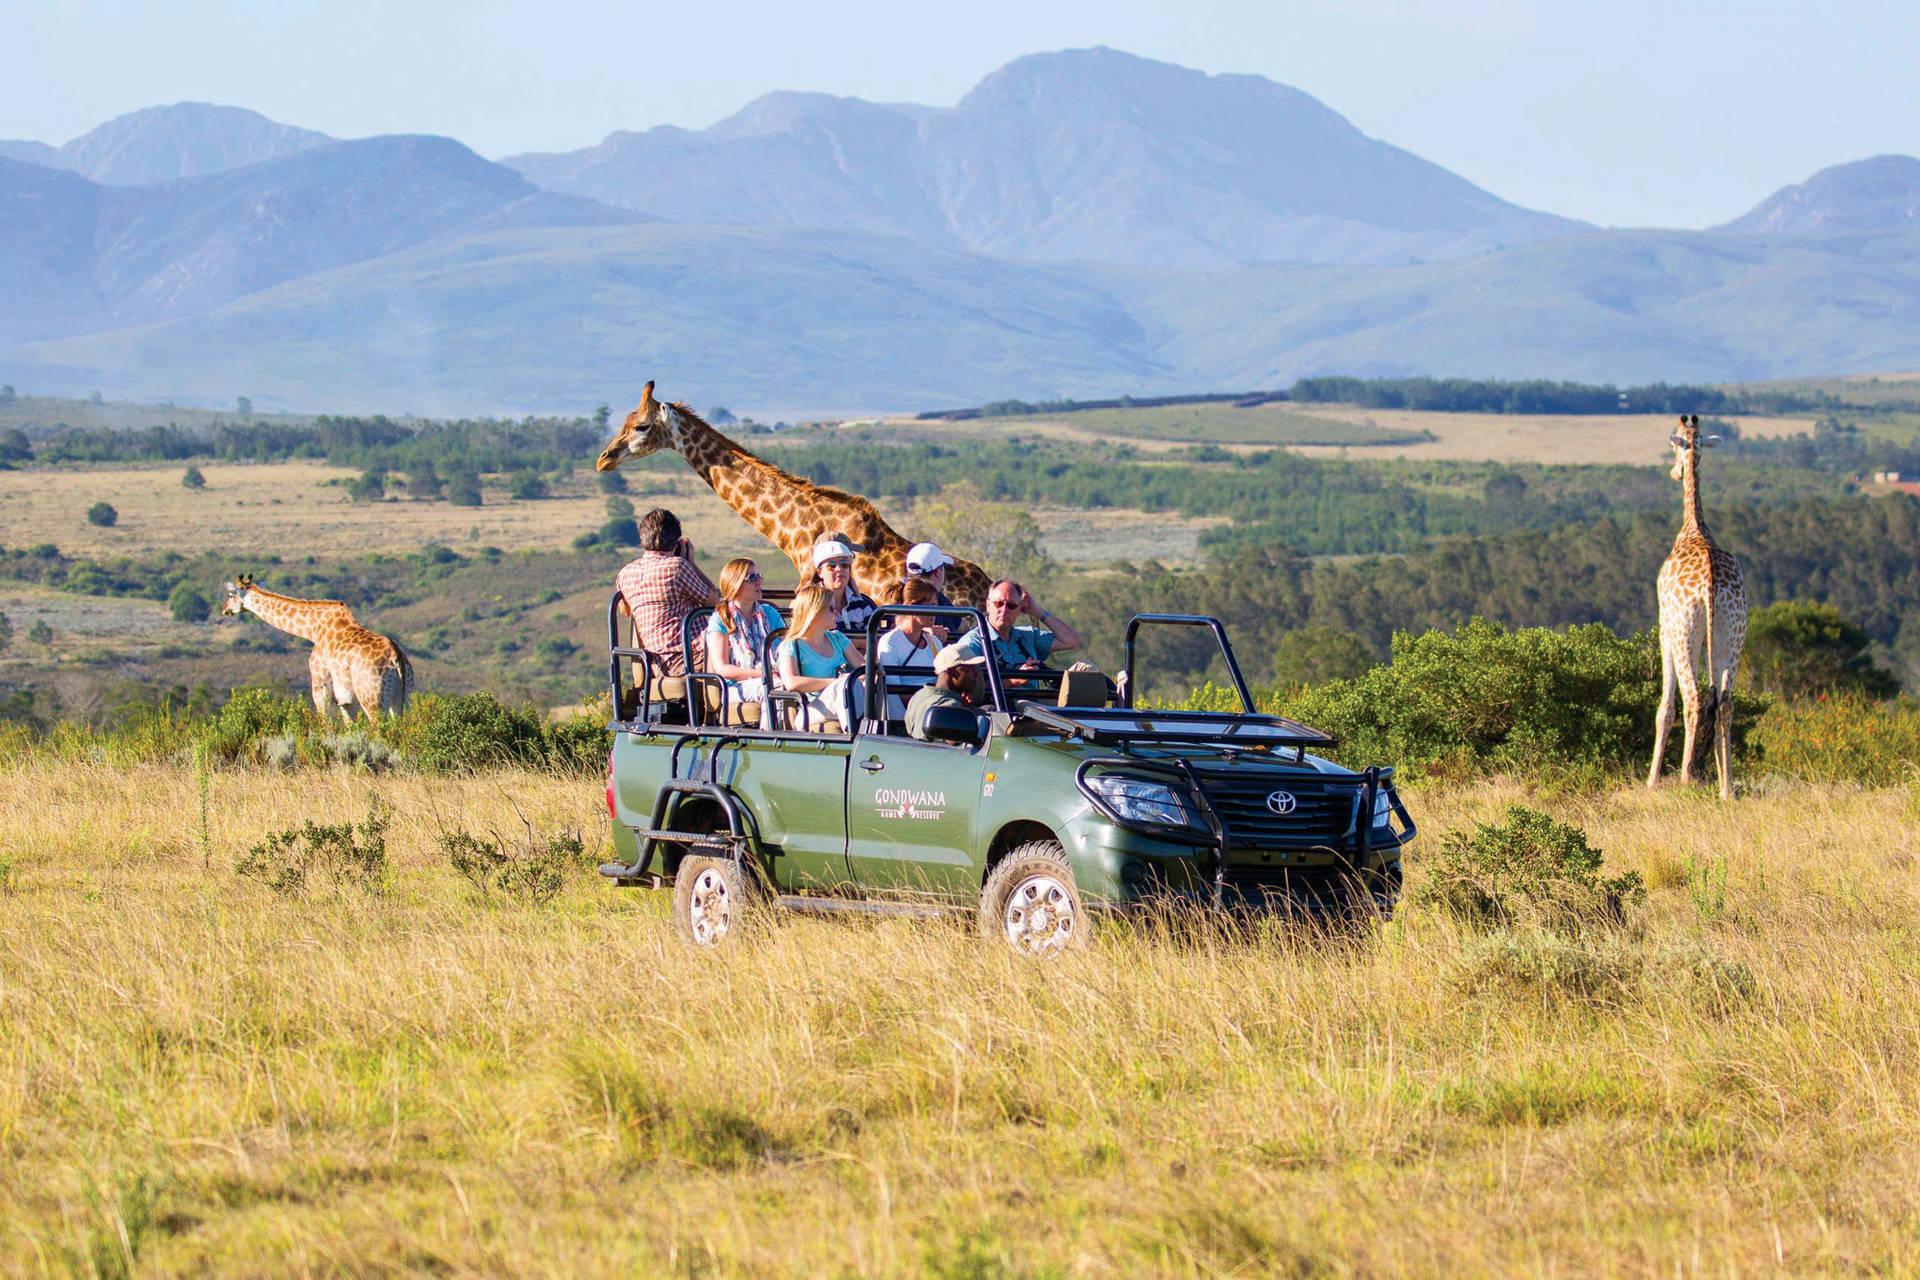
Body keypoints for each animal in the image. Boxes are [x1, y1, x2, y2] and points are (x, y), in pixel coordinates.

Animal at [222, 575, 414, 723]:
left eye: (231, 594)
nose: (225, 610)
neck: (313, 630)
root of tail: (396, 658)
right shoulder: (345, 700)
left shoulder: (320, 685)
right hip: (405, 698)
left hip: (372, 700)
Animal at [1648, 414, 1748, 800]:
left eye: (1674, 446)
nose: (1675, 472)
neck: (1694, 527)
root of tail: (1710, 585)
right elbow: (1715, 700)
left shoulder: (1664, 629)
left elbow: (1664, 707)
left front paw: (1651, 781)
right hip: (1732, 634)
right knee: (1724, 702)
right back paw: (1727, 789)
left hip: (1685, 634)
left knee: (1692, 699)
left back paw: (1685, 780)